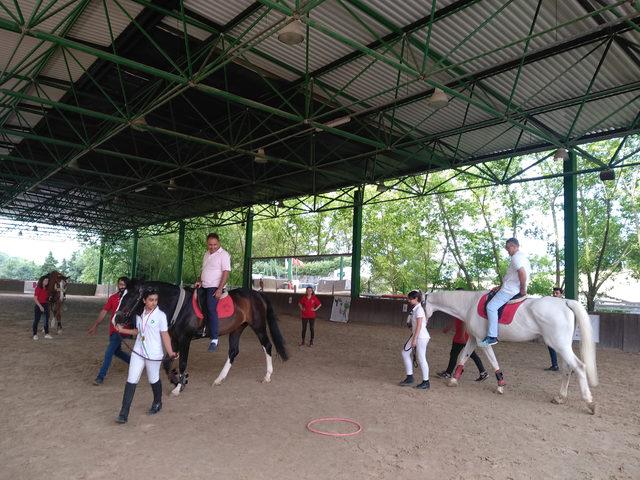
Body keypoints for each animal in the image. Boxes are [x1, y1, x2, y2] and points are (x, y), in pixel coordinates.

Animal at [114, 280, 288, 396]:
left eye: (132, 297)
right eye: (121, 295)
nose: (116, 319)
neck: (180, 306)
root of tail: (257, 293)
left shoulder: (185, 339)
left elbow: (182, 363)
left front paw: (178, 387)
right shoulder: (174, 339)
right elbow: (166, 363)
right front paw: (177, 380)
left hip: (258, 326)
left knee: (267, 345)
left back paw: (267, 376)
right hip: (237, 328)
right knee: (233, 351)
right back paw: (219, 379)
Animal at [422, 290, 596, 414]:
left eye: (420, 305)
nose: (419, 323)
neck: (469, 304)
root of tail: (565, 302)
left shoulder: (483, 342)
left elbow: (493, 361)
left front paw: (500, 385)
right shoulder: (473, 339)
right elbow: (462, 358)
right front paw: (453, 380)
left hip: (559, 344)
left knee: (579, 367)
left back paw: (589, 403)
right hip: (561, 346)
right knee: (568, 369)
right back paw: (560, 397)